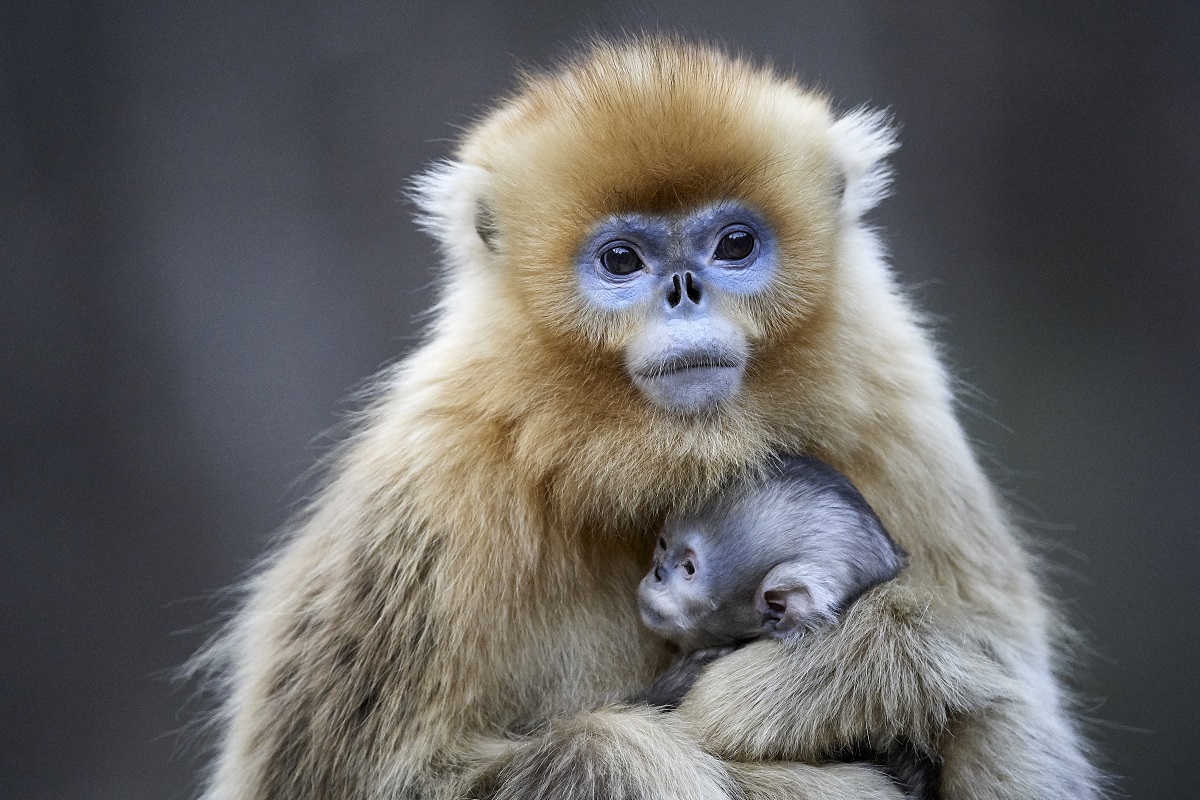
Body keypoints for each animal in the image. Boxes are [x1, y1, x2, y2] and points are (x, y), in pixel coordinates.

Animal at [199, 40, 1104, 800]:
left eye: (734, 245)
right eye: (622, 260)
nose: (683, 292)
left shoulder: (897, 409)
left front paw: (853, 670)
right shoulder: (436, 479)